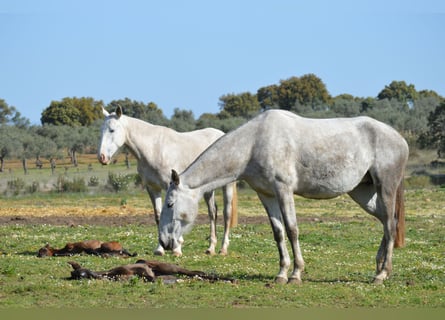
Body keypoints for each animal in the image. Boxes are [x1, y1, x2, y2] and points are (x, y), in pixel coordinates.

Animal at [96, 106, 236, 256]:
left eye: (112, 130)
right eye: (101, 130)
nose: (101, 157)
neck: (154, 149)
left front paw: (177, 249)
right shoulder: (153, 188)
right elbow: (158, 216)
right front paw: (160, 249)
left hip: (227, 186)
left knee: (226, 213)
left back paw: (223, 249)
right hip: (208, 189)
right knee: (212, 212)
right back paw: (211, 248)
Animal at [160, 109, 410, 284]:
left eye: (170, 204)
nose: (164, 242)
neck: (254, 143)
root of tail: (399, 138)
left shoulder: (284, 190)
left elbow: (292, 230)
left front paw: (296, 274)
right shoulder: (267, 195)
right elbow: (278, 233)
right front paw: (281, 273)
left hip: (385, 187)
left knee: (390, 224)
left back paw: (382, 274)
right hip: (362, 192)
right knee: (385, 221)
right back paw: (378, 266)